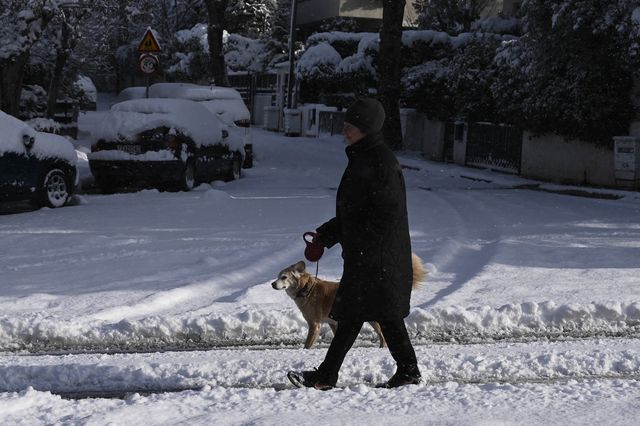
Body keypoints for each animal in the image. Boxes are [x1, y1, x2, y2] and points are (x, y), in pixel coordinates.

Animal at [270, 253, 424, 346]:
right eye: (277, 276)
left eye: (284, 277)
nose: (272, 284)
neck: (306, 289)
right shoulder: (332, 323)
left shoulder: (314, 325)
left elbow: (307, 346)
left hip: (374, 319)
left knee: (383, 336)